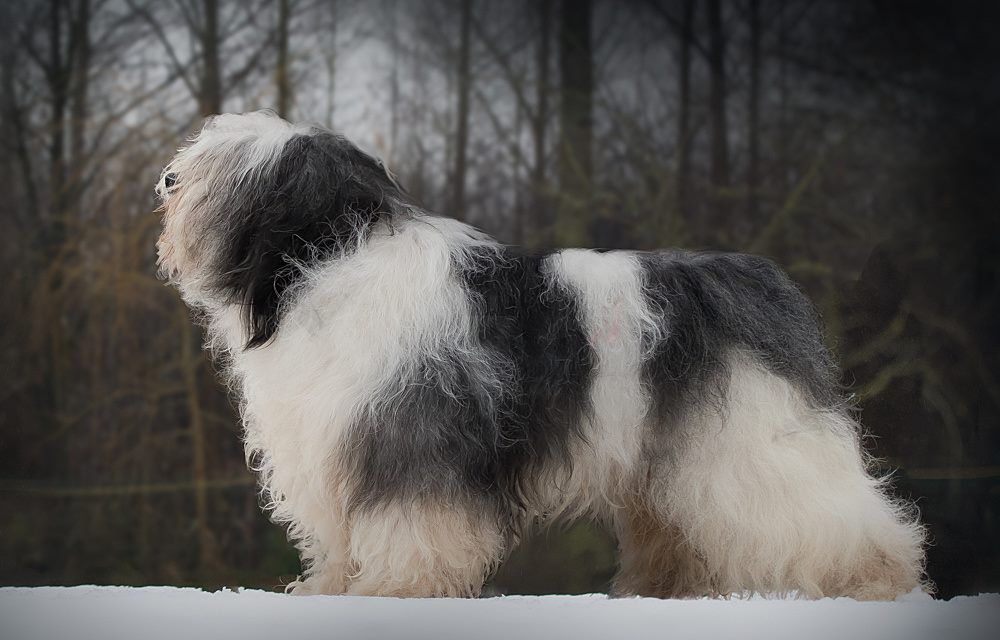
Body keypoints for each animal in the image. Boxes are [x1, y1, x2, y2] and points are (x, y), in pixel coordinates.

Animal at [156, 111, 927, 599]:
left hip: (754, 435)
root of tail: (751, 274)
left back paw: (877, 580)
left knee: (831, 513)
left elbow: (413, 525)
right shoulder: (335, 438)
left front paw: (399, 590)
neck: (334, 263)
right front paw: (329, 588)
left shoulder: (413, 432)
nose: (166, 179)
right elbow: (340, 536)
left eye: (227, 166)